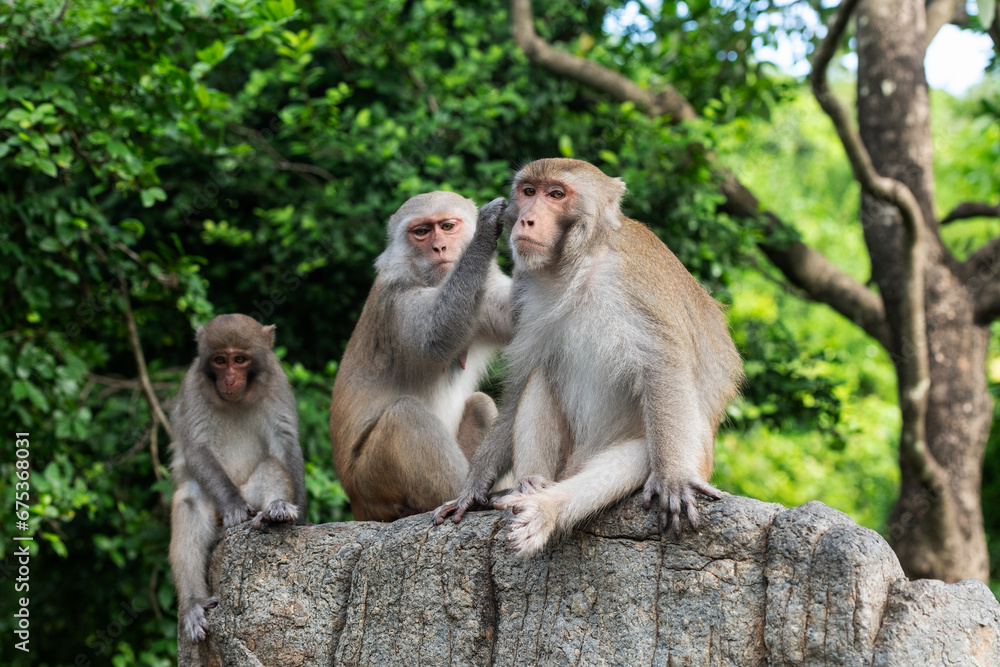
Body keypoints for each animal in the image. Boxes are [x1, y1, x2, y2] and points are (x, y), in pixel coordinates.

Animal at [168, 316, 304, 644]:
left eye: (240, 360)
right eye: (220, 360)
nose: (229, 379)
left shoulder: (276, 381)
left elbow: (285, 442)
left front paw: (299, 515)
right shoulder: (193, 386)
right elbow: (197, 449)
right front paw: (233, 506)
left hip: (253, 495)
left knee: (270, 466)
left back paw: (276, 513)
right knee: (190, 498)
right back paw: (194, 604)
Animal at [330, 190, 516, 524]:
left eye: (447, 226)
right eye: (421, 231)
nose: (439, 246)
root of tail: (357, 506)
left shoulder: (485, 296)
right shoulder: (397, 303)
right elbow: (435, 335)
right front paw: (484, 234)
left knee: (479, 404)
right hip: (372, 483)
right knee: (406, 415)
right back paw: (465, 499)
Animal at [434, 159, 748, 556]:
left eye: (556, 194)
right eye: (528, 192)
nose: (527, 220)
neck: (578, 261)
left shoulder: (634, 278)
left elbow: (664, 364)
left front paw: (674, 478)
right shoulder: (523, 290)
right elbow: (522, 381)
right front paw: (474, 487)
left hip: (696, 454)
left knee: (642, 452)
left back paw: (544, 509)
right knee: (540, 376)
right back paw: (528, 488)